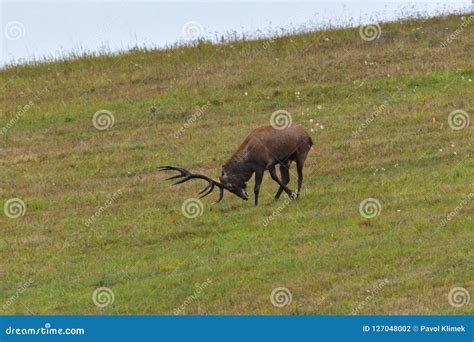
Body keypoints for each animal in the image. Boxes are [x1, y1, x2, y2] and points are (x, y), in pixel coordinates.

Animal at [161, 125, 312, 206]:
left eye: (230, 187)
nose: (245, 197)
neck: (248, 159)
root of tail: (310, 138)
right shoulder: (271, 163)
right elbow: (275, 178)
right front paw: (283, 195)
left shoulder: (261, 165)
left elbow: (257, 187)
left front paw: (256, 204)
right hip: (286, 160)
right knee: (288, 177)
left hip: (301, 153)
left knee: (300, 176)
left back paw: (298, 195)